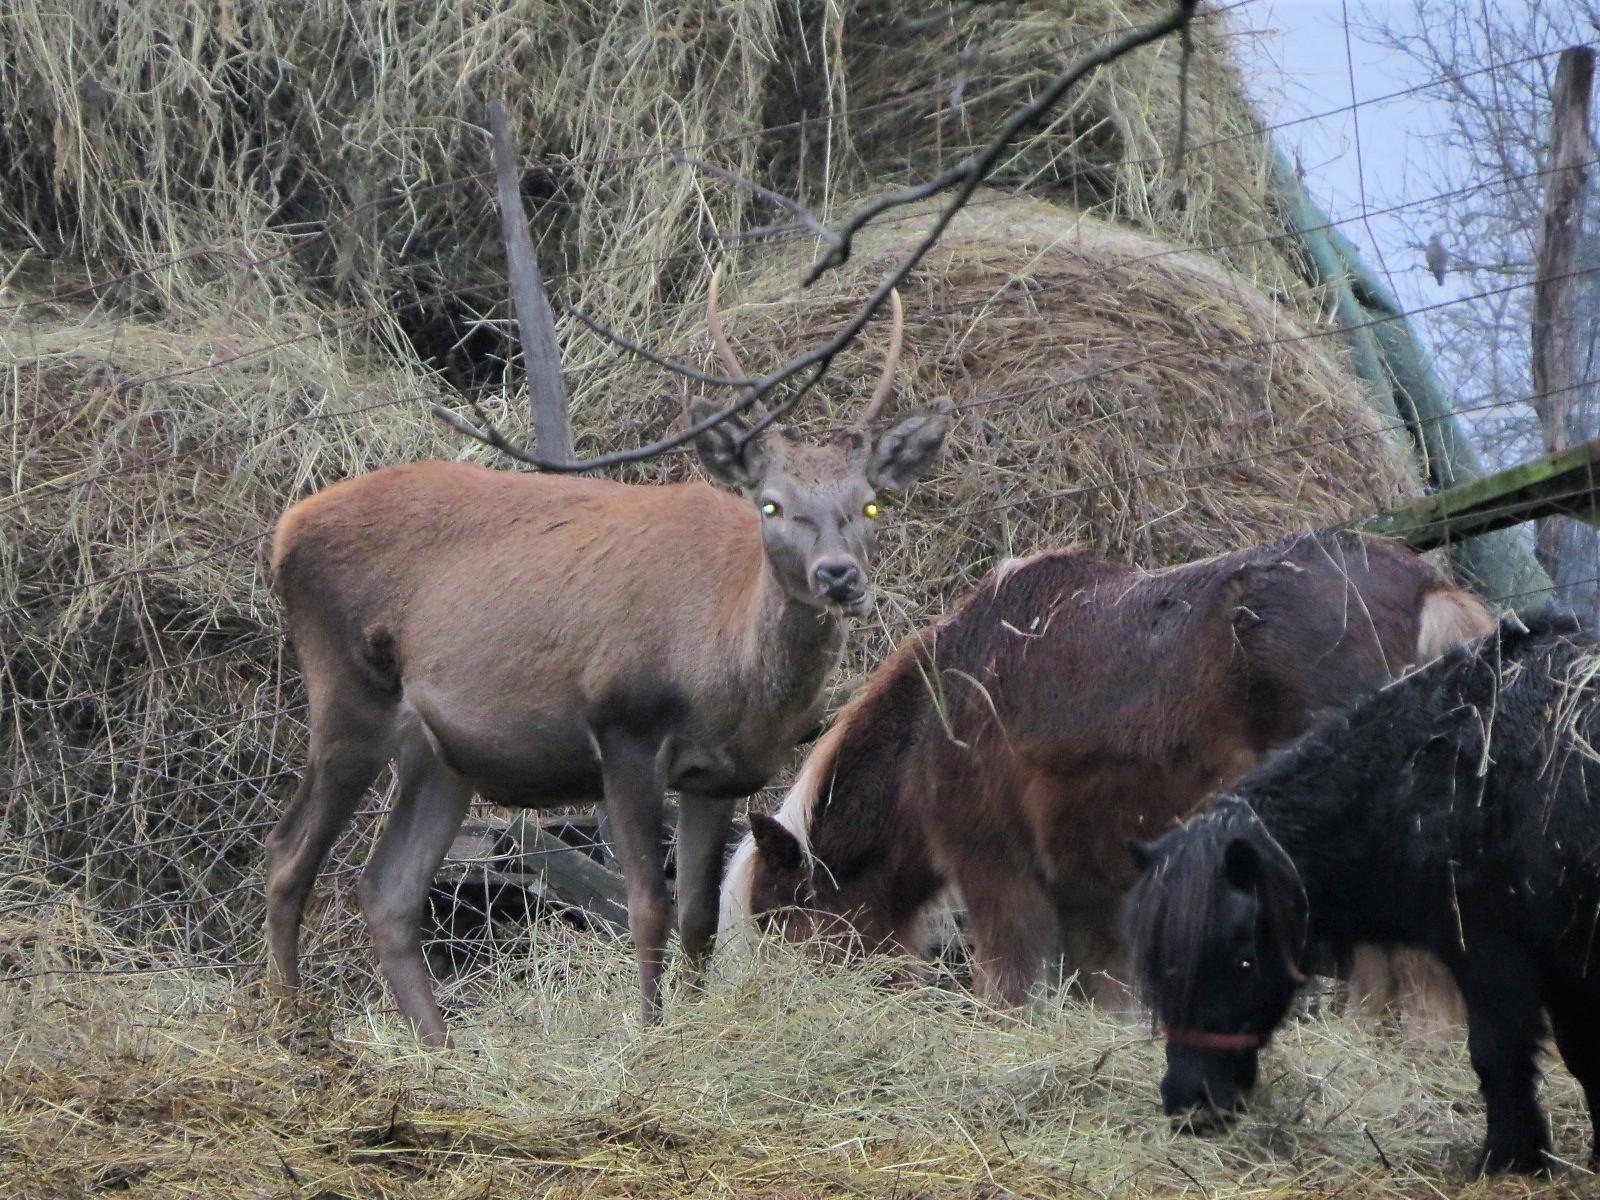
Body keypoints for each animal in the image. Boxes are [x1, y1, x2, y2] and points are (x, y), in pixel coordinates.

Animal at [720, 531, 1491, 1011]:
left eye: (780, 918)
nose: (772, 1002)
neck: (936, 722)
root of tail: (1426, 589)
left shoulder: (997, 869)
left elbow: (1013, 983)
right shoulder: (1091, 891)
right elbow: (1104, 991)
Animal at [1126, 614, 1600, 1177]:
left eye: (1242, 958)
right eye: (1160, 965)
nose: (1189, 1105)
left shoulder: (1493, 954)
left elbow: (1497, 1054)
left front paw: (1507, 1158)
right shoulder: (1562, 961)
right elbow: (1583, 1056)